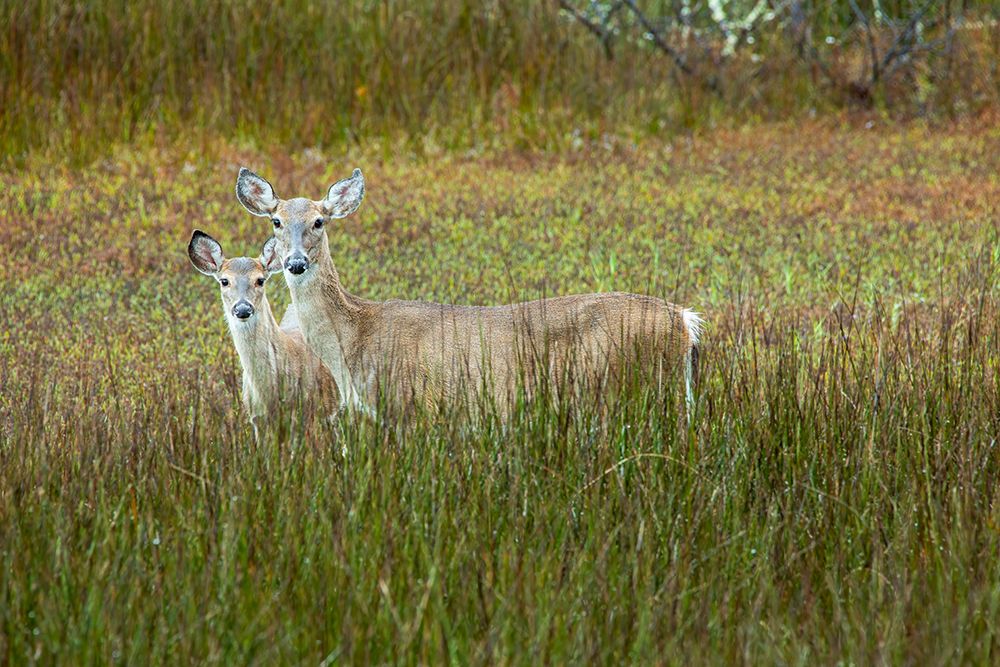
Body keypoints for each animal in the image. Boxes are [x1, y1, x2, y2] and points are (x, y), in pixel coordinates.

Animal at [234, 167, 703, 419]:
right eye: (276, 220)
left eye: (319, 221)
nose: (295, 263)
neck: (353, 341)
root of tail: (684, 319)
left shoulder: (411, 404)